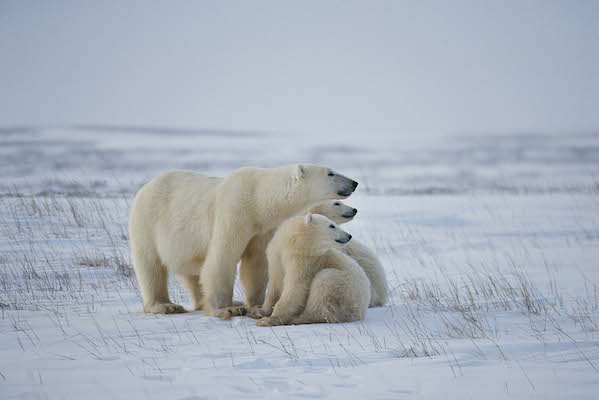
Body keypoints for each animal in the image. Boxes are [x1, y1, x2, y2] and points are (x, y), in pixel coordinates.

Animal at [129, 164, 358, 318]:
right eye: (330, 172)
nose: (354, 182)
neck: (258, 199)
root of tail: (145, 187)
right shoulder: (234, 211)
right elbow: (222, 257)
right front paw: (227, 308)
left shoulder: (262, 227)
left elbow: (255, 263)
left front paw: (255, 305)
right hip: (147, 222)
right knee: (150, 265)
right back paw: (165, 305)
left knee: (192, 271)